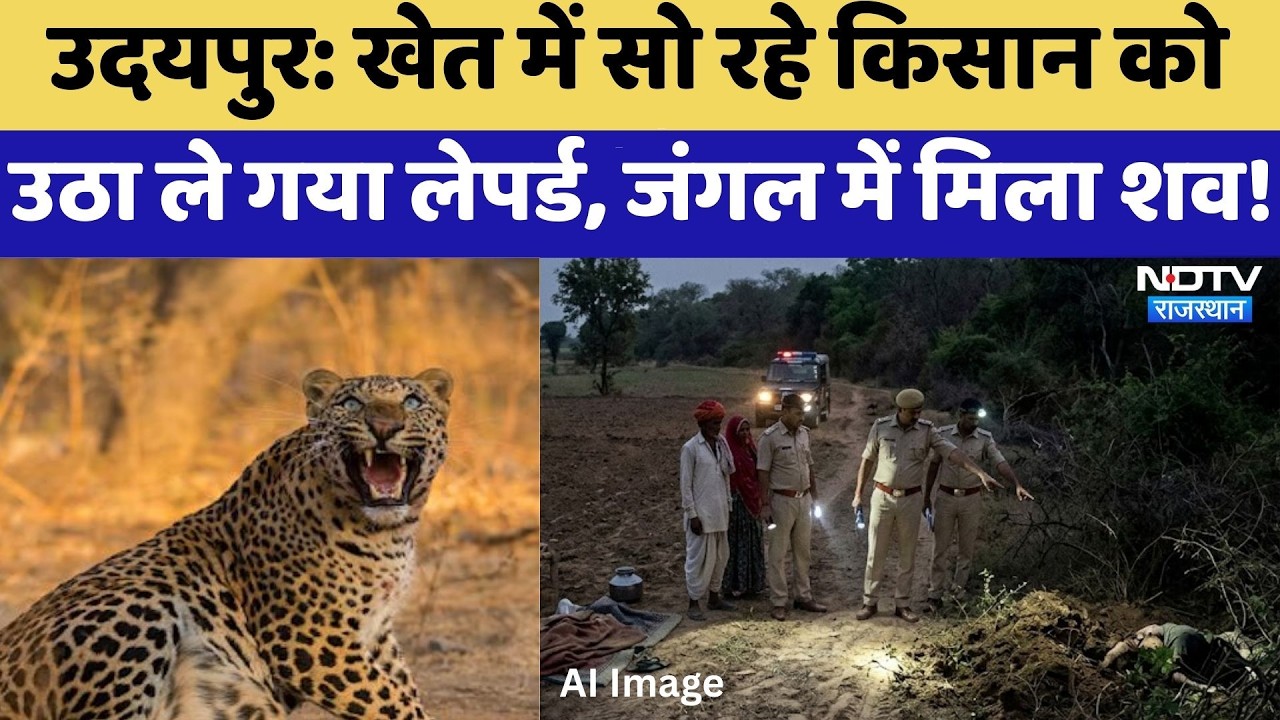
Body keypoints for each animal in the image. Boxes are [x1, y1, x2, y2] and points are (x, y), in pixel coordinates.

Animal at [0, 367, 454, 720]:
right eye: (352, 404)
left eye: (413, 402)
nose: (384, 427)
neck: (387, 535)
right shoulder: (307, 636)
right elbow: (392, 702)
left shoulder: (377, 631)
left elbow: (402, 687)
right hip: (140, 604)